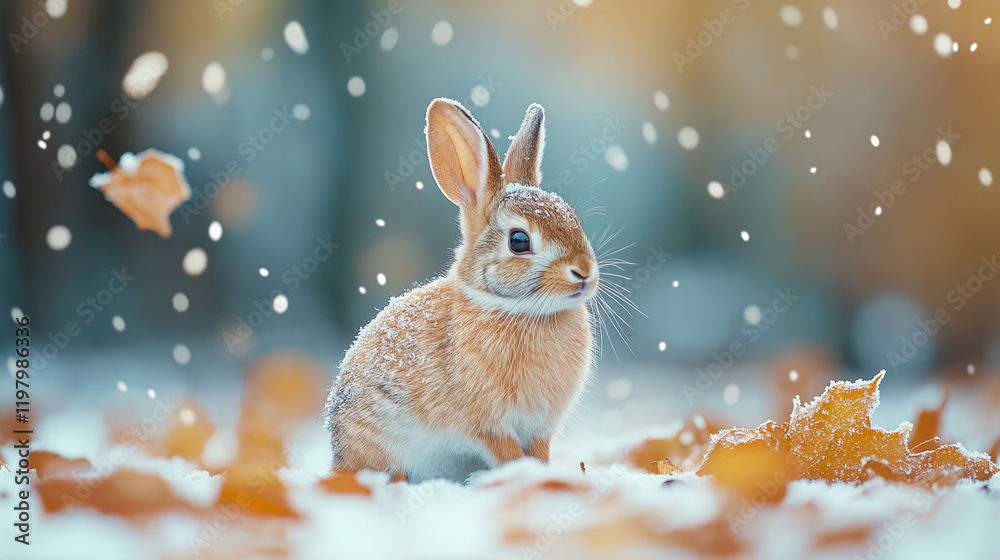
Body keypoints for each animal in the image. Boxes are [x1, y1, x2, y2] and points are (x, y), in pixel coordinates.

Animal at [325, 98, 599, 483]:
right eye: (519, 241)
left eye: (573, 219)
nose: (585, 271)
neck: (520, 309)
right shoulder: (488, 425)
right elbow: (508, 454)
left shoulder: (539, 429)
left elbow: (538, 454)